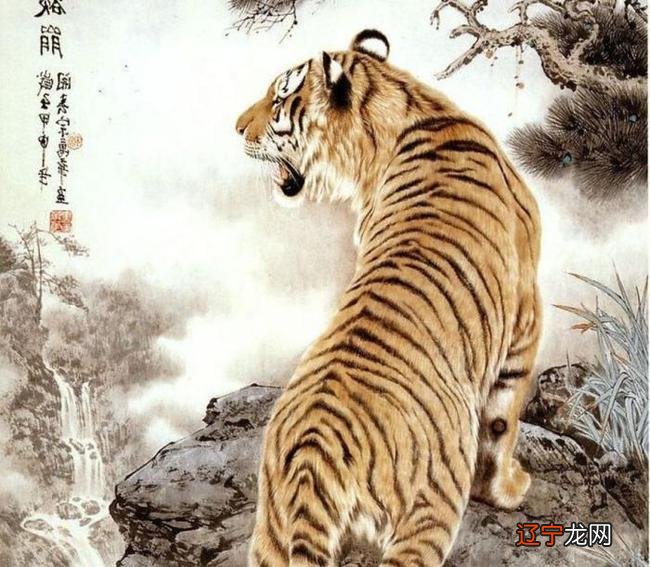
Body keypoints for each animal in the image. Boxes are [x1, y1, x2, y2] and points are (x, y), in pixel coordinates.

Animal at [235, 29, 541, 566]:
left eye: (277, 99)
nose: (235, 129)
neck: (406, 109)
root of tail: (312, 455)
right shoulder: (526, 317)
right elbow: (502, 422)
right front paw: (507, 490)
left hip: (270, 534)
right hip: (427, 514)